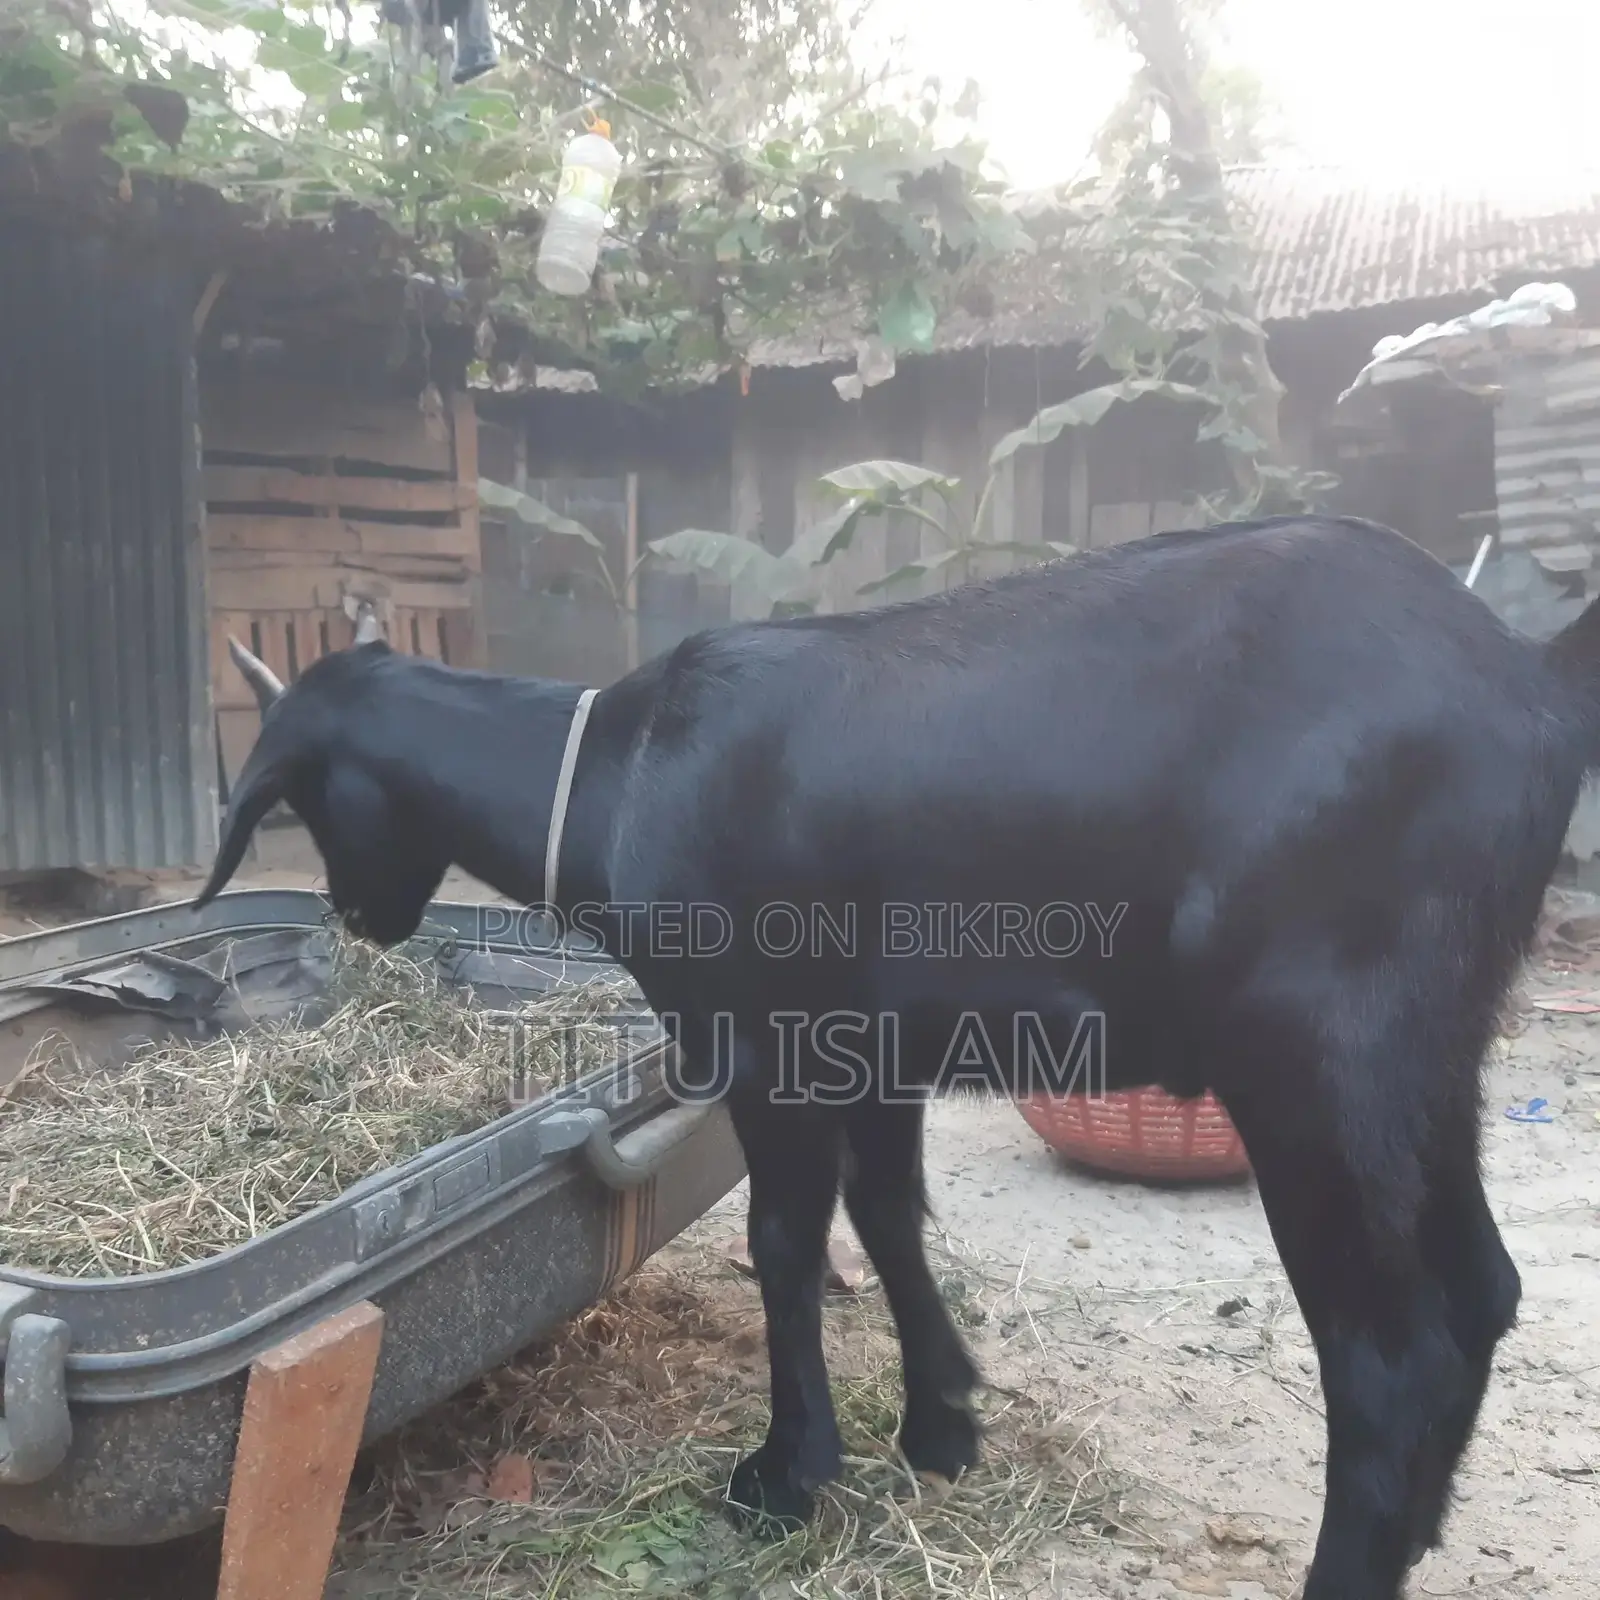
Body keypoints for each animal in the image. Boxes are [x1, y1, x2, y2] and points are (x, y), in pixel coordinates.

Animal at [197, 513, 1600, 1600]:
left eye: (304, 797)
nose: (360, 917)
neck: (616, 773)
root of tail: (1533, 680)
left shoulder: (763, 1039)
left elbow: (784, 1240)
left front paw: (786, 1471)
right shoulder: (875, 1047)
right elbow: (887, 1213)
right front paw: (942, 1421)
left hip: (1317, 1046)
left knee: (1392, 1351)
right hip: (1427, 1053)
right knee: (1482, 1291)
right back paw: (1417, 1533)